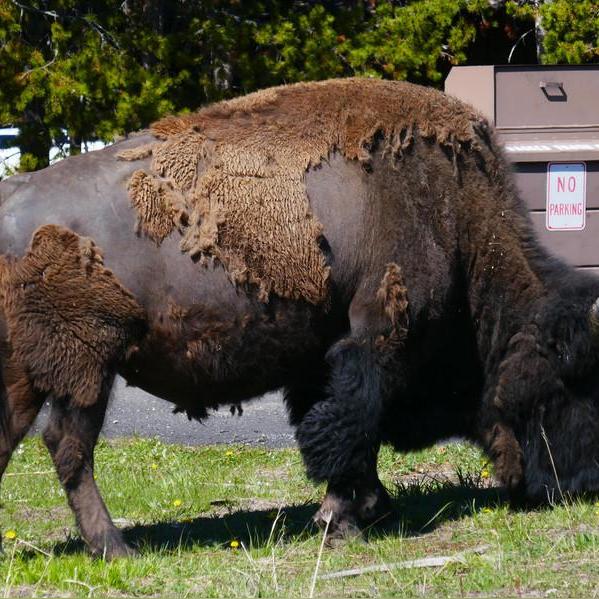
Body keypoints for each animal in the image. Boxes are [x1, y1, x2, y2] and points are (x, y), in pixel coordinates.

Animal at [1, 77, 599, 560]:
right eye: (567, 384)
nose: (580, 484)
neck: (452, 216)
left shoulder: (323, 358)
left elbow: (347, 429)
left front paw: (370, 508)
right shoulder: (376, 340)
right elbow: (350, 427)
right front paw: (341, 522)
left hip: (31, 376)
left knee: (18, 439)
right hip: (85, 368)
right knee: (70, 448)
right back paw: (116, 548)